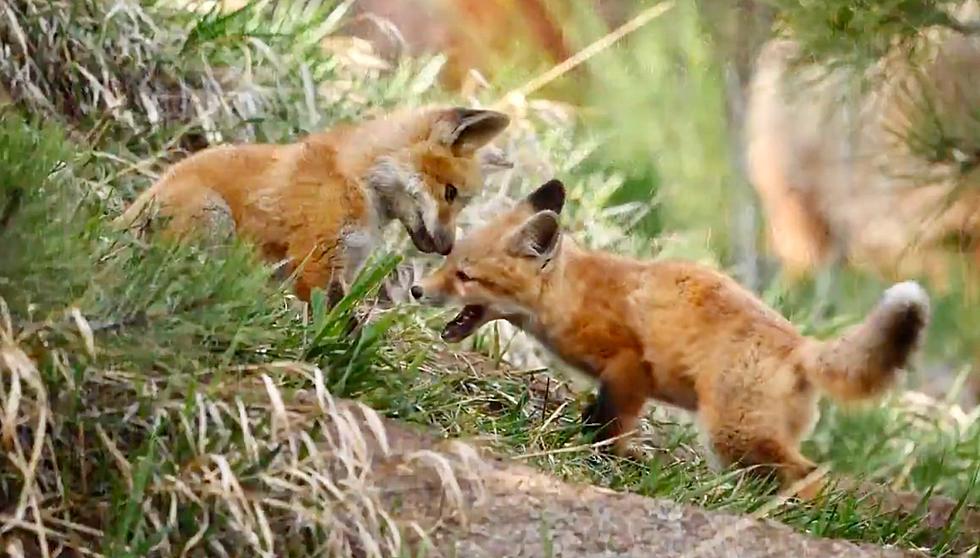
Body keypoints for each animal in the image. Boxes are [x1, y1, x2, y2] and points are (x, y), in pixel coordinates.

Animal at [117, 105, 506, 306]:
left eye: (463, 202)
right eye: (451, 193)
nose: (448, 247)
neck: (357, 180)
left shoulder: (347, 267)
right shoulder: (316, 262)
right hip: (215, 217)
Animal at [410, 180, 932, 498]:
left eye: (465, 276)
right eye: (448, 260)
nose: (416, 290)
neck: (572, 295)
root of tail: (800, 344)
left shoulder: (628, 368)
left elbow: (608, 430)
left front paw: (602, 459)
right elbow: (599, 422)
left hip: (733, 435)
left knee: (809, 477)